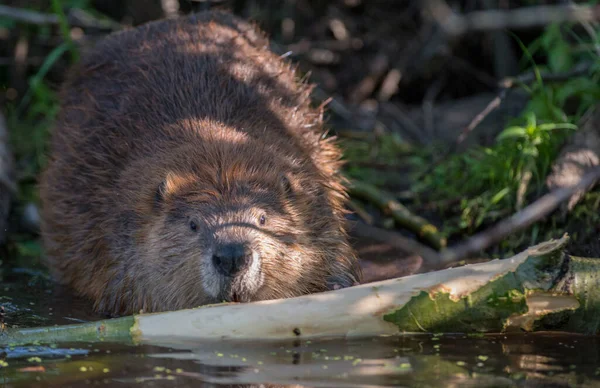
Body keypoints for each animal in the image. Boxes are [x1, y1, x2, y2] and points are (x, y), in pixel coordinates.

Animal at [39, 11, 364, 316]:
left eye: (262, 219)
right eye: (193, 224)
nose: (231, 257)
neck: (219, 161)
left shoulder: (317, 202)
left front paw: (335, 284)